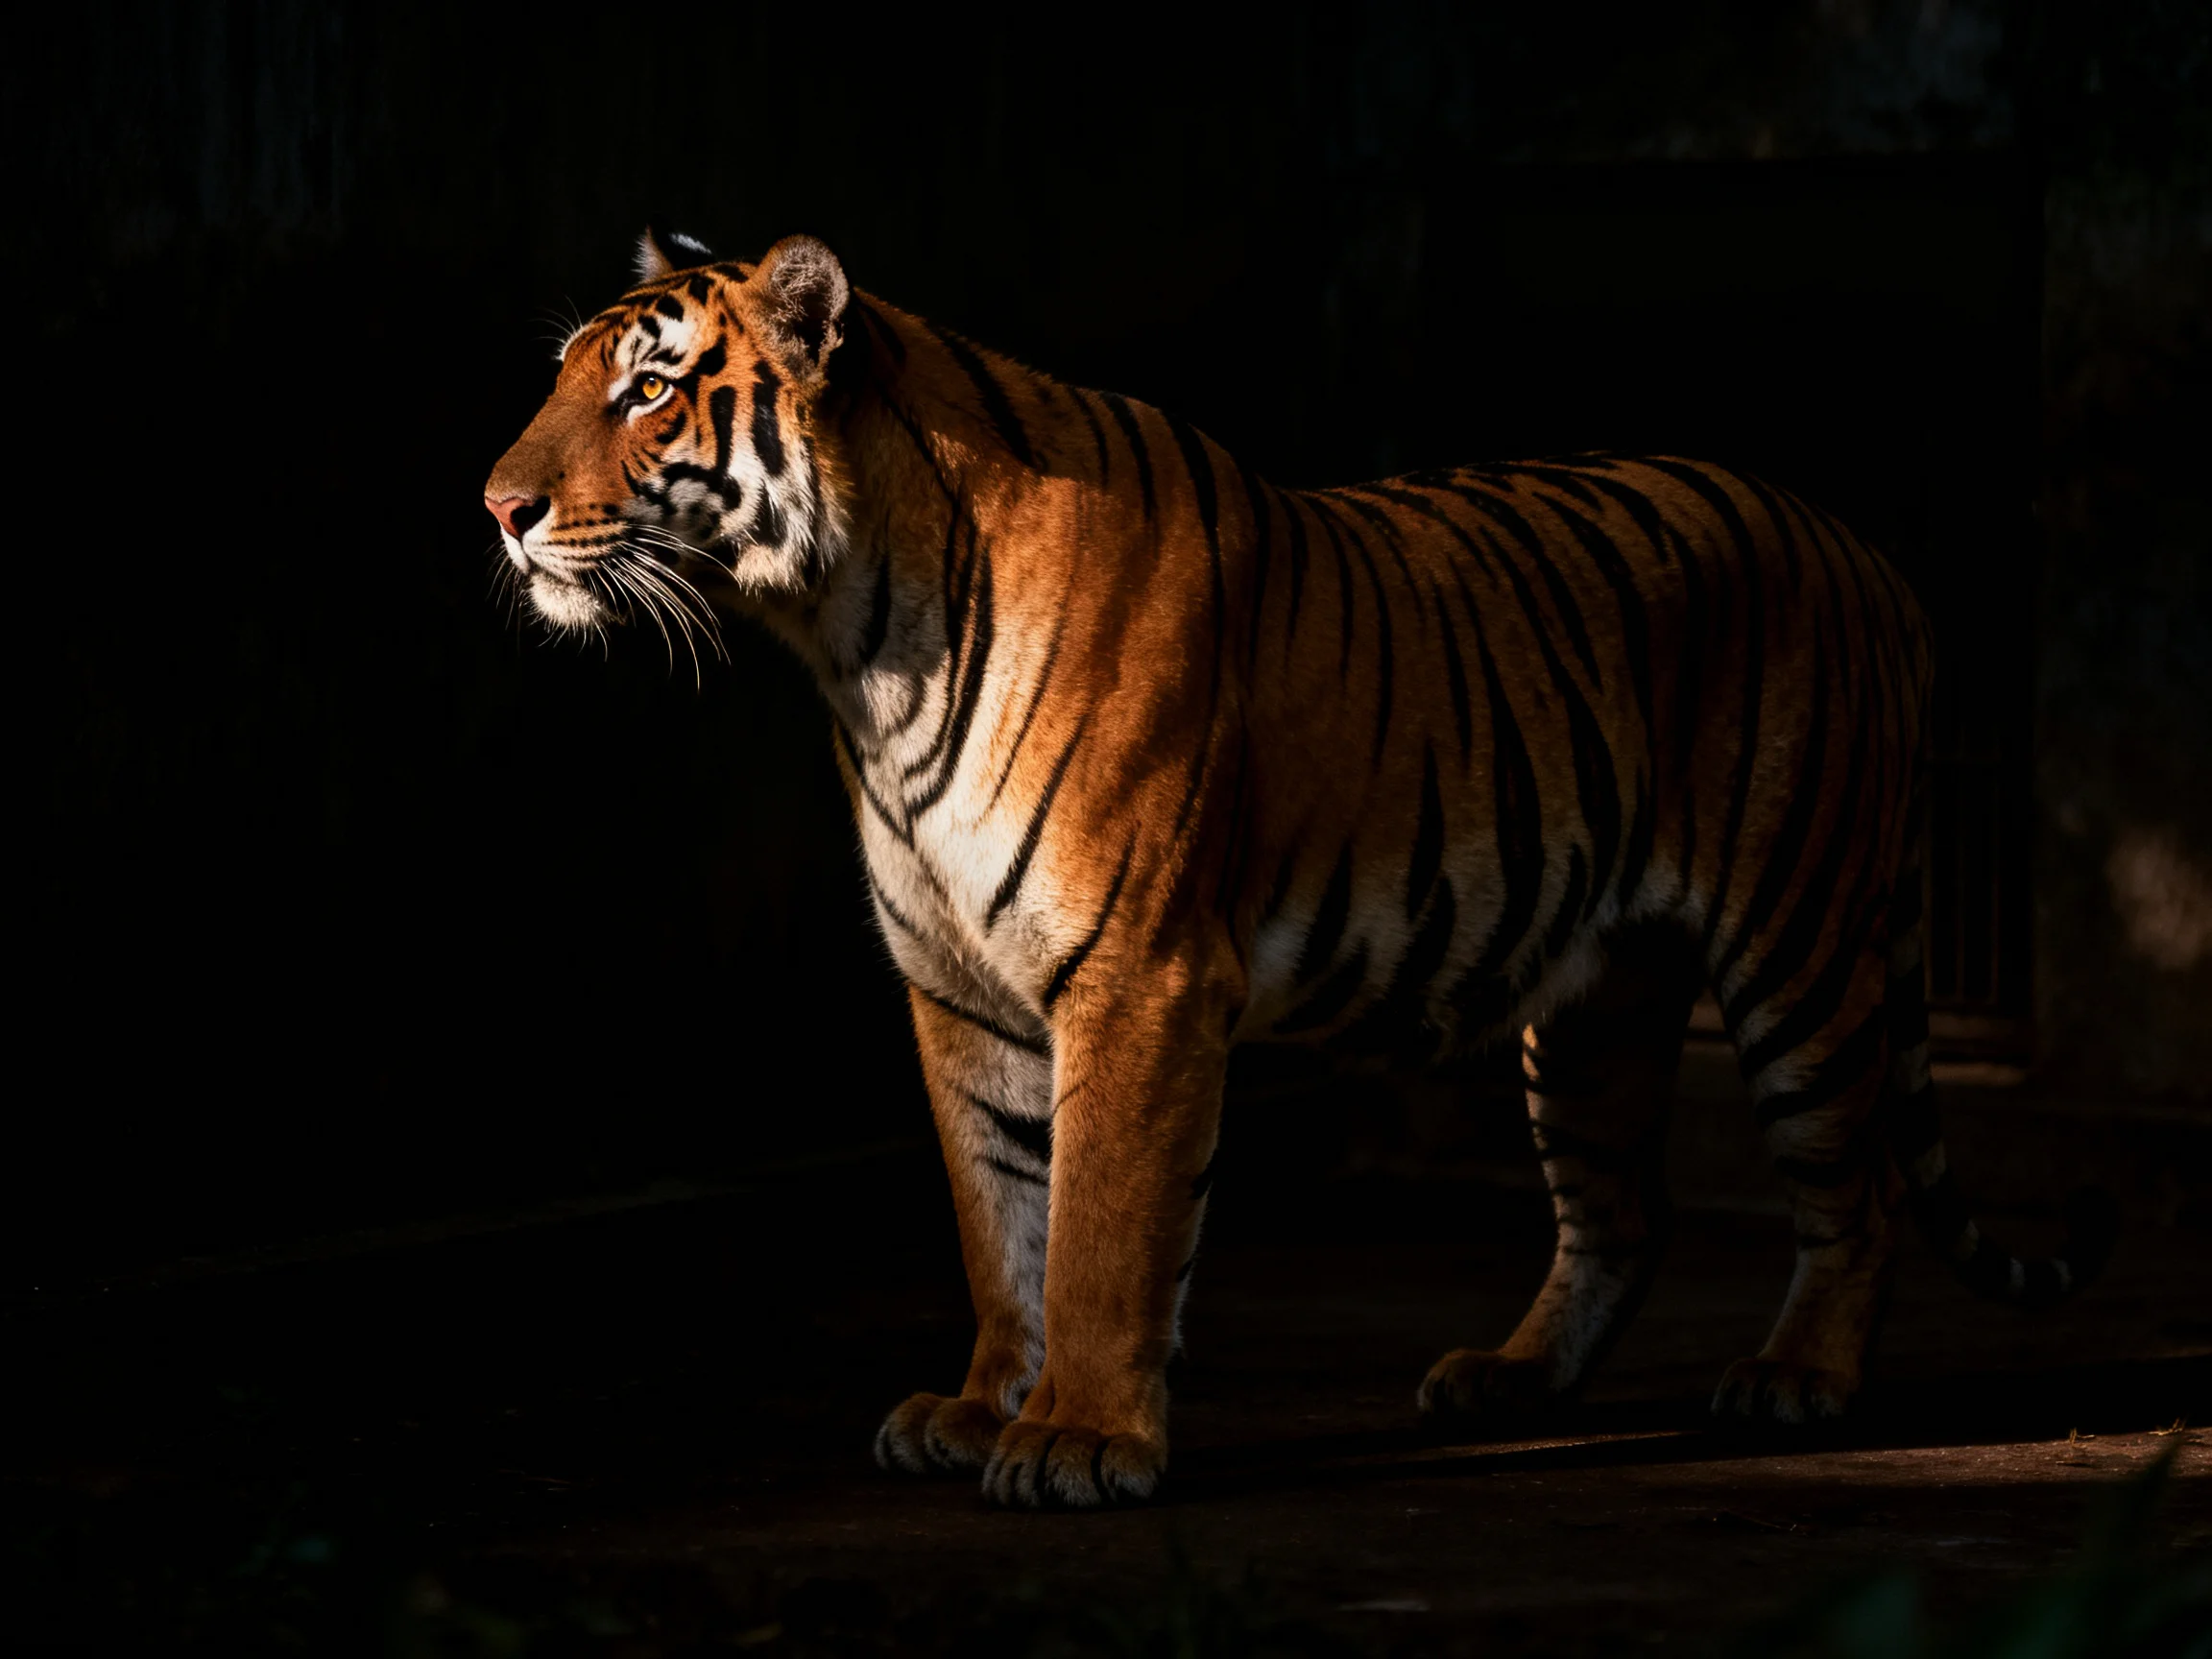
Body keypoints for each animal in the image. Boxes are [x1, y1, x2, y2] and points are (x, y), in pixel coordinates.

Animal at [483, 228, 2115, 1510]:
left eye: (648, 388)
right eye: (564, 376)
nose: (496, 510)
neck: (855, 640)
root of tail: (1866, 551)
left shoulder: (1135, 974)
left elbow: (1100, 1226)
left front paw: (1077, 1440)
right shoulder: (958, 989)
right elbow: (997, 1214)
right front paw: (982, 1406)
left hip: (1800, 941)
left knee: (1858, 1189)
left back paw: (1799, 1380)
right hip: (1597, 1000)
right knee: (1623, 1212)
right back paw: (1506, 1381)